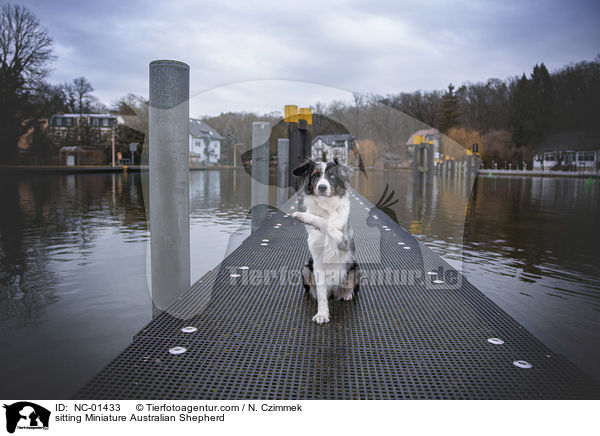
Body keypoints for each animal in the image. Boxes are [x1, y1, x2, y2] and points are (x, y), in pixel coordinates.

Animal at [292, 158, 358, 322]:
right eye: (316, 175)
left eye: (332, 176)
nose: (322, 187)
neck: (326, 207)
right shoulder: (317, 262)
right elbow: (322, 294)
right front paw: (322, 314)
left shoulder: (343, 240)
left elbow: (326, 223)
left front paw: (302, 216)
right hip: (306, 268)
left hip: (355, 267)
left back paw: (346, 294)